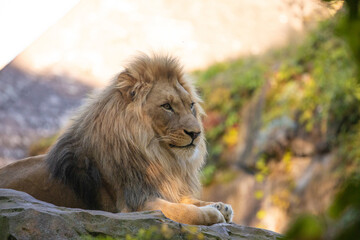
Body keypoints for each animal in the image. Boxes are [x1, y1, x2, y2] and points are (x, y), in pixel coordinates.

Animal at [0, 53, 233, 226]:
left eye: (191, 105)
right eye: (167, 106)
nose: (196, 133)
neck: (157, 155)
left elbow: (187, 200)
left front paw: (219, 205)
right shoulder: (133, 205)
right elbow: (185, 211)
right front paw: (212, 212)